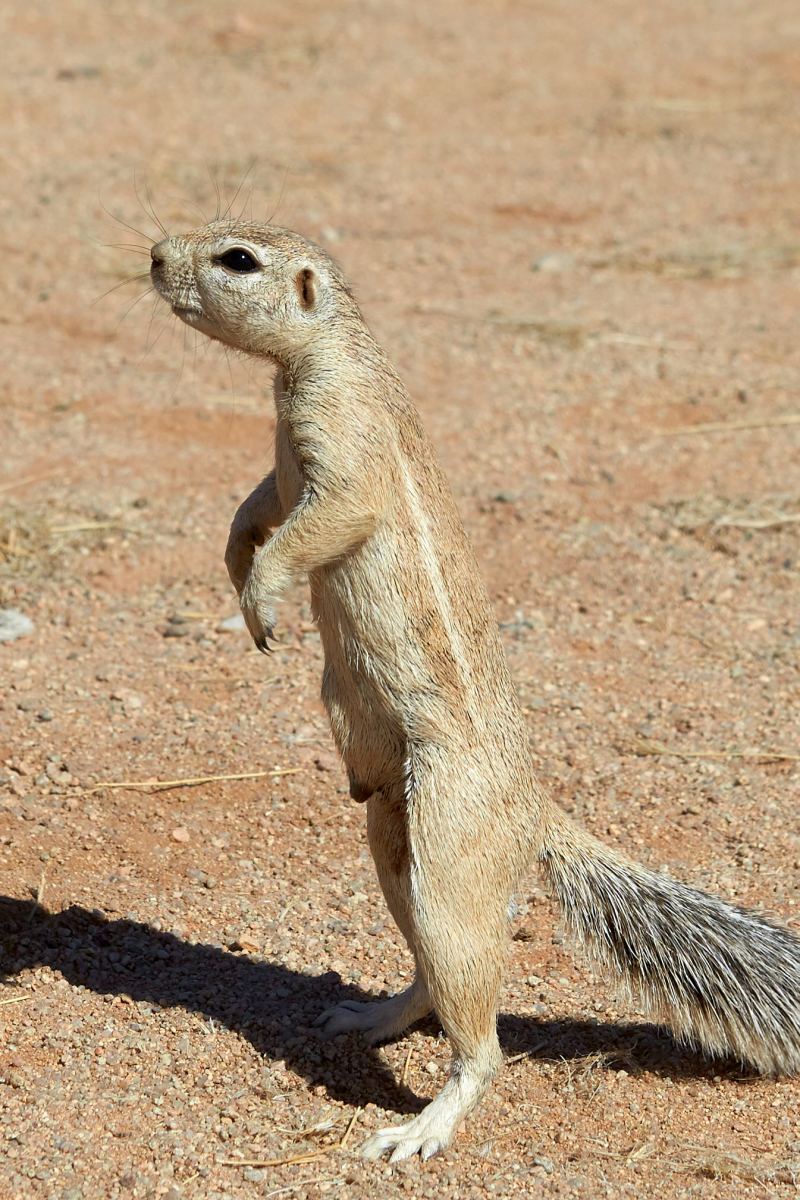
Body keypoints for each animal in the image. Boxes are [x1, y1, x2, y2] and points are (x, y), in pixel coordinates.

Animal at [148, 220, 800, 1156]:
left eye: (239, 259)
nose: (156, 258)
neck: (323, 358)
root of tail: (535, 810)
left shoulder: (344, 454)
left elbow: (322, 520)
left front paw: (261, 600)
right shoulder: (282, 471)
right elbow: (254, 509)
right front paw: (239, 571)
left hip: (451, 841)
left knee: (480, 1035)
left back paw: (420, 1129)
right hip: (392, 830)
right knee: (429, 972)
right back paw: (370, 1016)